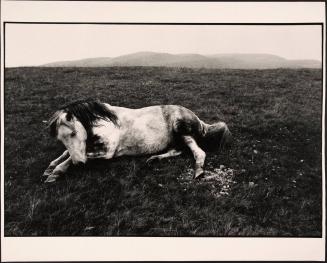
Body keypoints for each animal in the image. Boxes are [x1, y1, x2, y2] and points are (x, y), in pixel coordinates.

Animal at [43, 99, 233, 184]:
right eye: (60, 138)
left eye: (73, 133)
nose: (80, 163)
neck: (107, 122)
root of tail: (199, 120)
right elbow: (66, 153)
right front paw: (51, 167)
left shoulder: (107, 152)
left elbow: (72, 158)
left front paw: (56, 172)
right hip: (177, 139)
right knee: (178, 150)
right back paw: (153, 159)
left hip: (182, 132)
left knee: (198, 152)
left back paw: (198, 172)